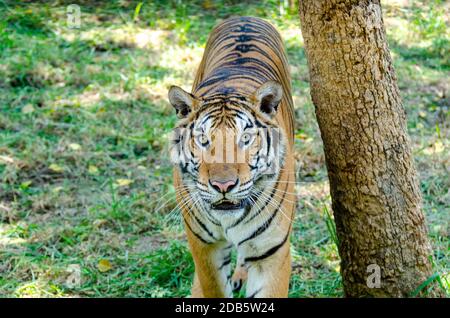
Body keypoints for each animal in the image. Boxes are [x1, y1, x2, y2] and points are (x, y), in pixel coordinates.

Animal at [167, 15, 298, 298]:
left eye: (245, 138)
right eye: (203, 139)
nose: (223, 186)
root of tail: (245, 17)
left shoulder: (272, 252)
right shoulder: (205, 246)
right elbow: (213, 287)